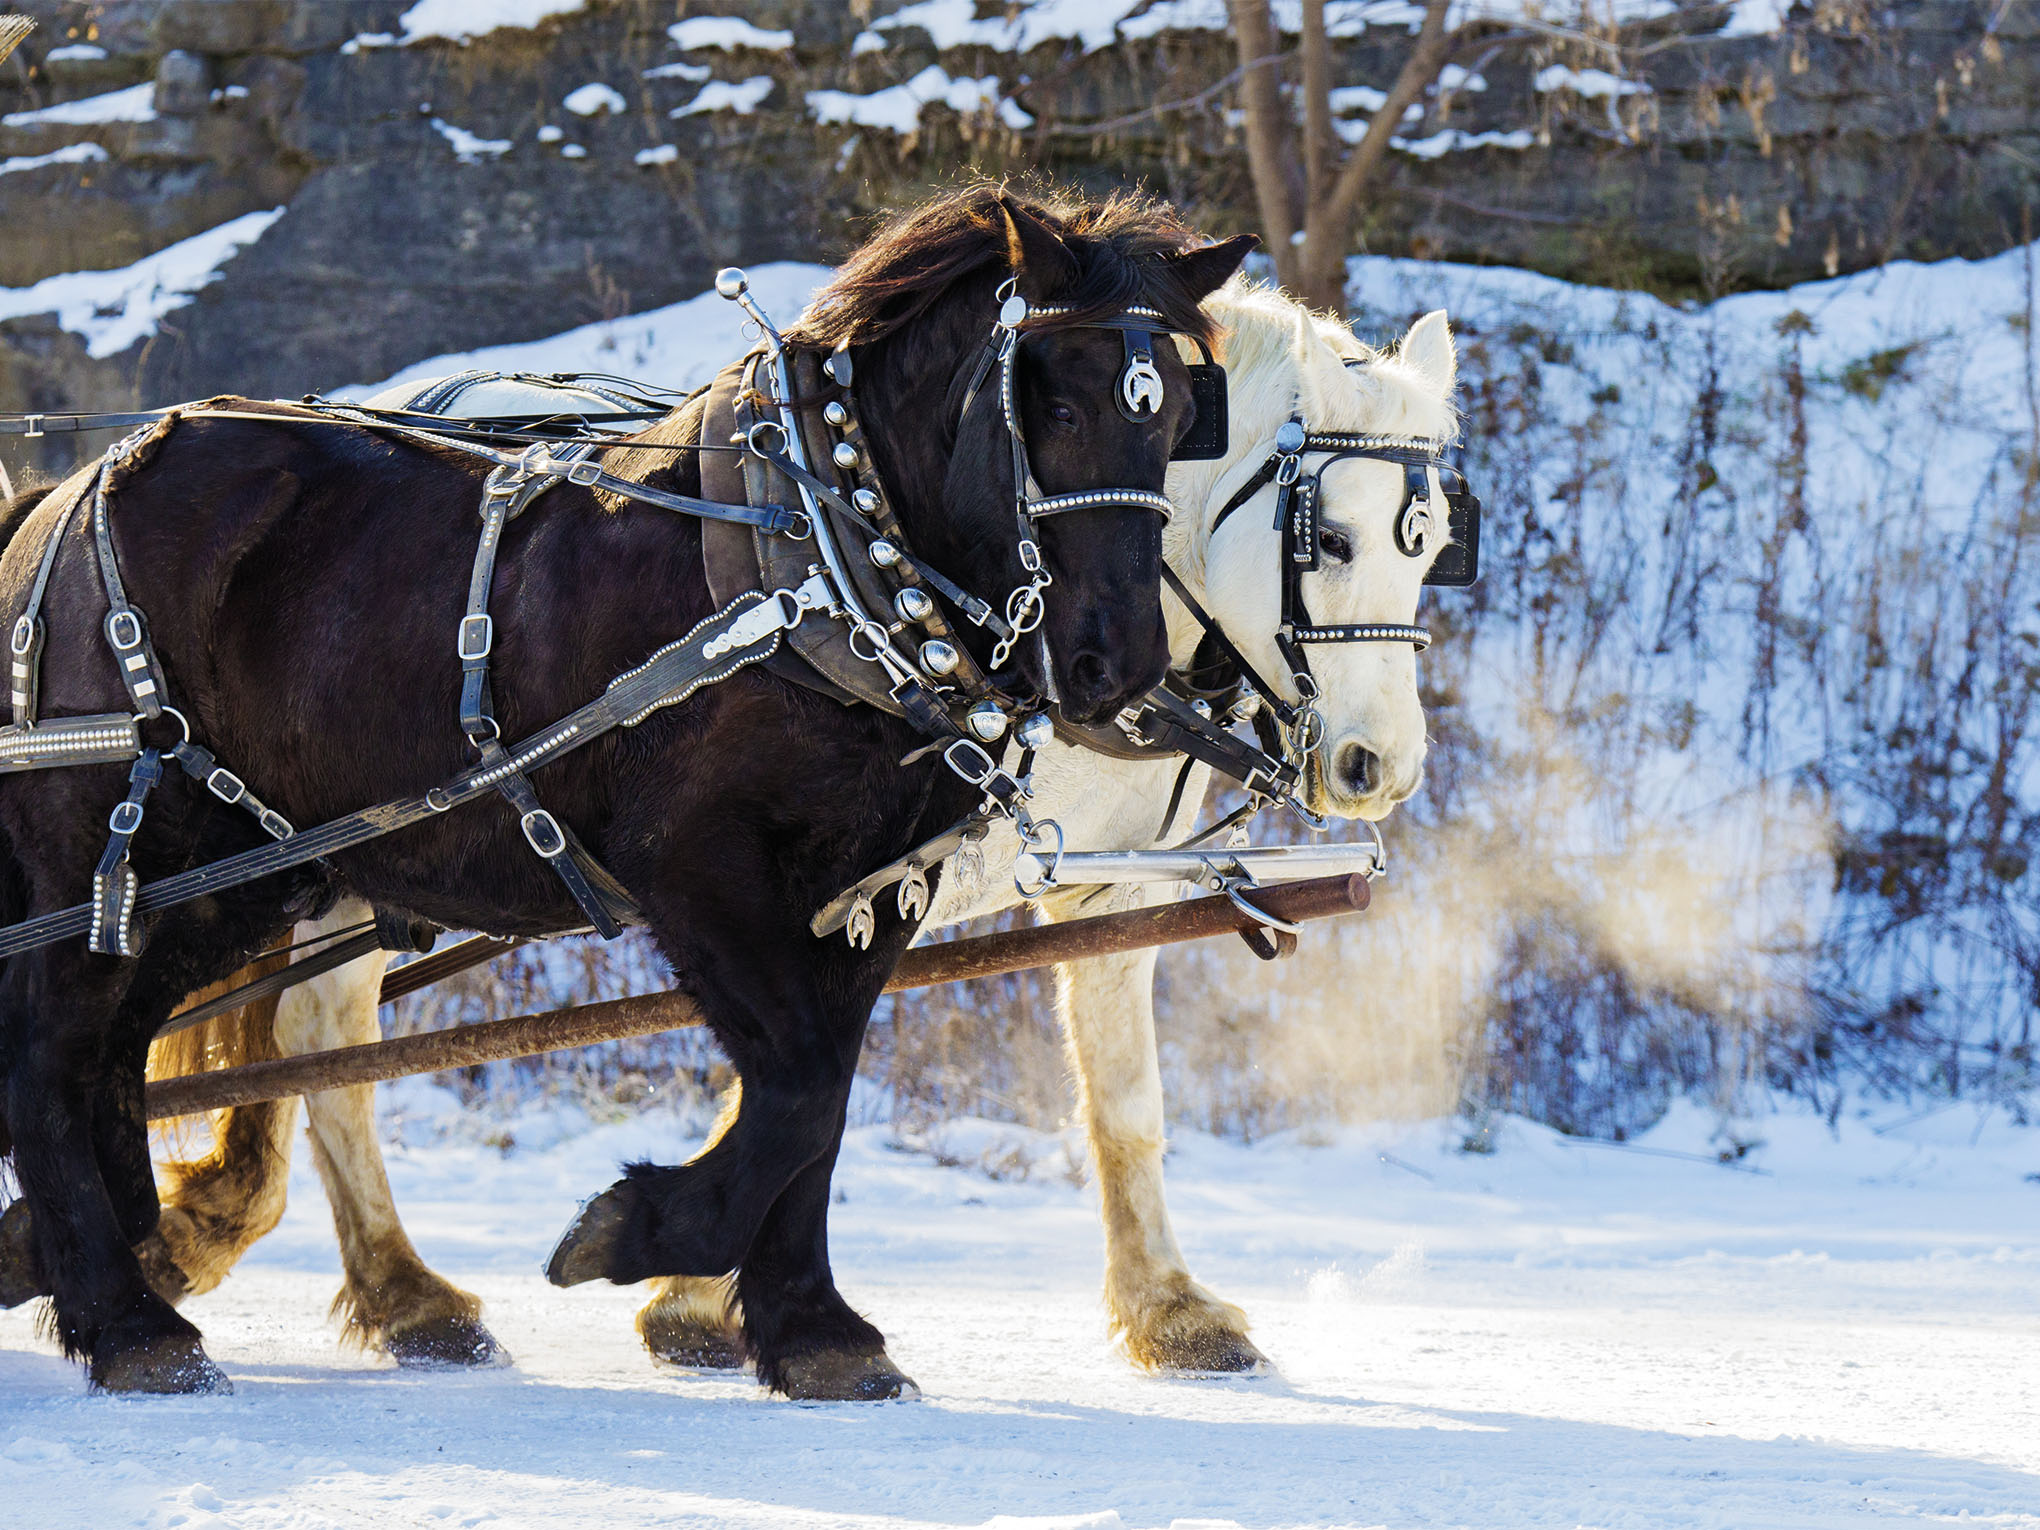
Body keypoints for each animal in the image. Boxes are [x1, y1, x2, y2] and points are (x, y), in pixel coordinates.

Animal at [0, 188, 1248, 1403]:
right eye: (1058, 402)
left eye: (1181, 415)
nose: (1119, 662)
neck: (818, 559)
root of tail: (72, 488)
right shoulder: (702, 873)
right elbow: (796, 1084)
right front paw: (642, 1230)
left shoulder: (867, 891)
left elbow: (824, 1095)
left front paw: (810, 1330)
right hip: (115, 846)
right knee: (51, 1053)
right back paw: (126, 1319)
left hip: (232, 877)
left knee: (112, 1052)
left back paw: (95, 1258)